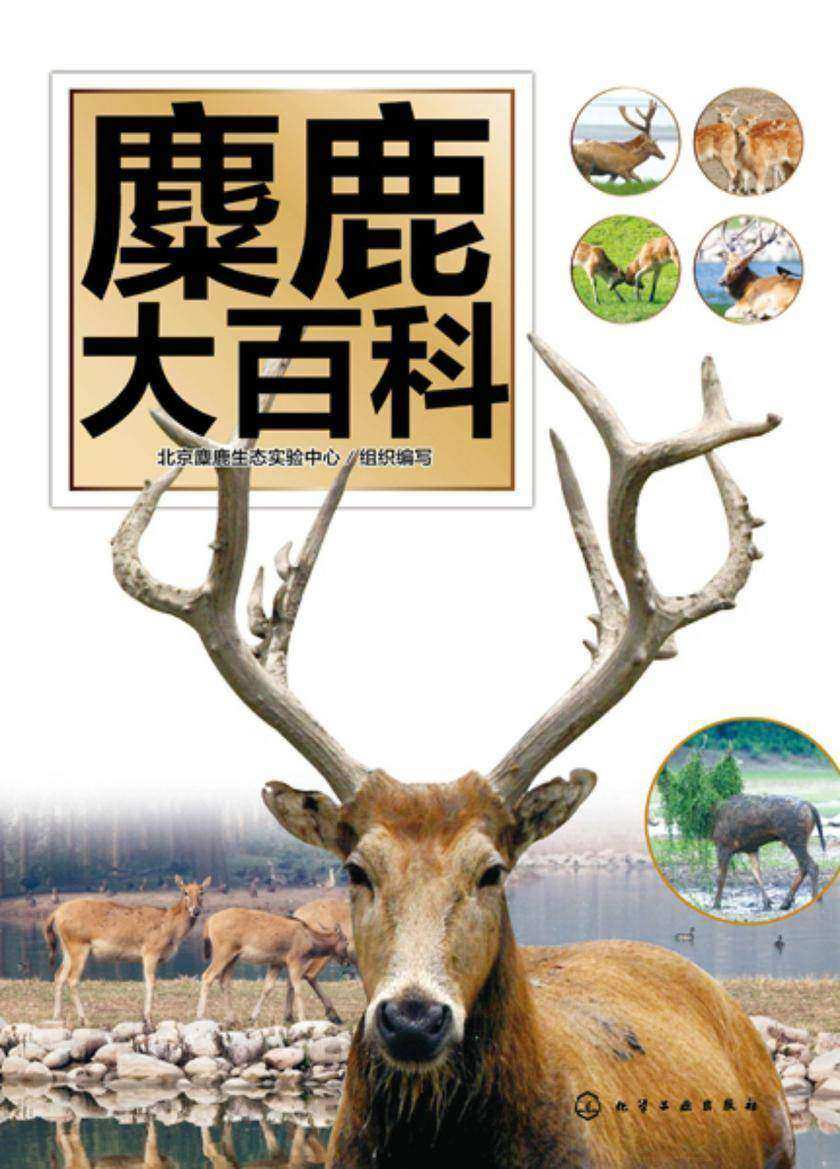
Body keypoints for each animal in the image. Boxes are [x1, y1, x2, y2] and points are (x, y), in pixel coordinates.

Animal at [44, 875, 211, 1027]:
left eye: (202, 891)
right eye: (185, 892)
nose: (196, 910)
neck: (172, 932)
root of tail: (55, 914)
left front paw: (144, 1017)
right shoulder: (151, 950)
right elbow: (151, 982)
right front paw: (148, 1019)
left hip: (67, 948)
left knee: (59, 975)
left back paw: (56, 1016)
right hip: (79, 944)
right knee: (72, 979)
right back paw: (84, 1019)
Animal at [197, 907, 352, 1025]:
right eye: (346, 941)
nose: (346, 961)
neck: (310, 940)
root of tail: (209, 921)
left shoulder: (277, 963)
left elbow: (267, 988)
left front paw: (252, 1017)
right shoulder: (294, 960)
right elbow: (297, 988)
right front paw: (302, 1018)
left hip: (232, 958)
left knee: (224, 981)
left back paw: (232, 1019)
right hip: (223, 953)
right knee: (207, 976)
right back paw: (200, 1016)